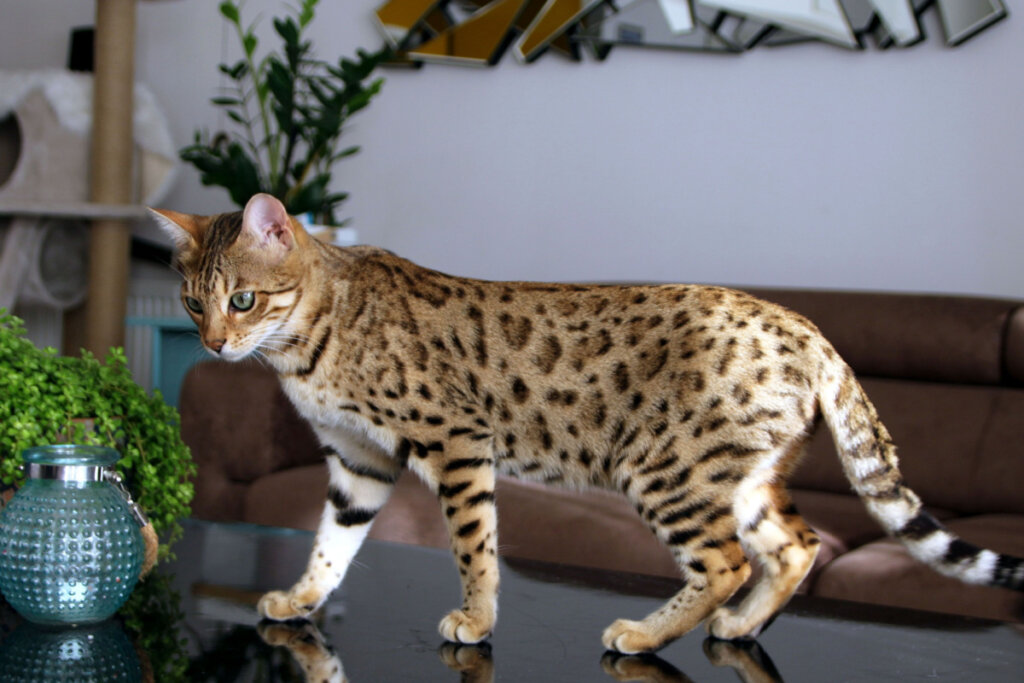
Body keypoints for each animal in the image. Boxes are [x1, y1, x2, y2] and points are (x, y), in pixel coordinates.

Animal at [153, 194, 1024, 655]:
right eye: (192, 303)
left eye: (243, 300)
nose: (213, 344)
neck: (310, 344)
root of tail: (805, 324)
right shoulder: (357, 464)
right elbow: (330, 545)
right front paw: (301, 600)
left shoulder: (456, 441)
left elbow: (475, 549)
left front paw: (476, 620)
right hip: (741, 477)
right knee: (796, 544)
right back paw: (740, 627)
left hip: (668, 470)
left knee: (725, 562)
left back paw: (646, 634)